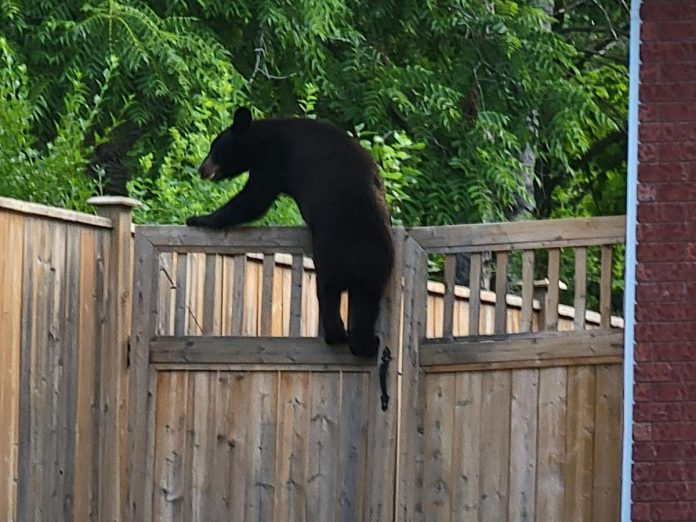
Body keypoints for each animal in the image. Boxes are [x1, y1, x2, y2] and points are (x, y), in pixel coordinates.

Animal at [188, 107, 394, 356]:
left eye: (215, 148)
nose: (202, 169)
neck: (261, 139)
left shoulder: (274, 161)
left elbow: (253, 199)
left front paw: (200, 218)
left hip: (331, 254)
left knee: (328, 292)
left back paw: (338, 336)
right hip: (377, 271)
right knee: (366, 304)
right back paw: (365, 343)